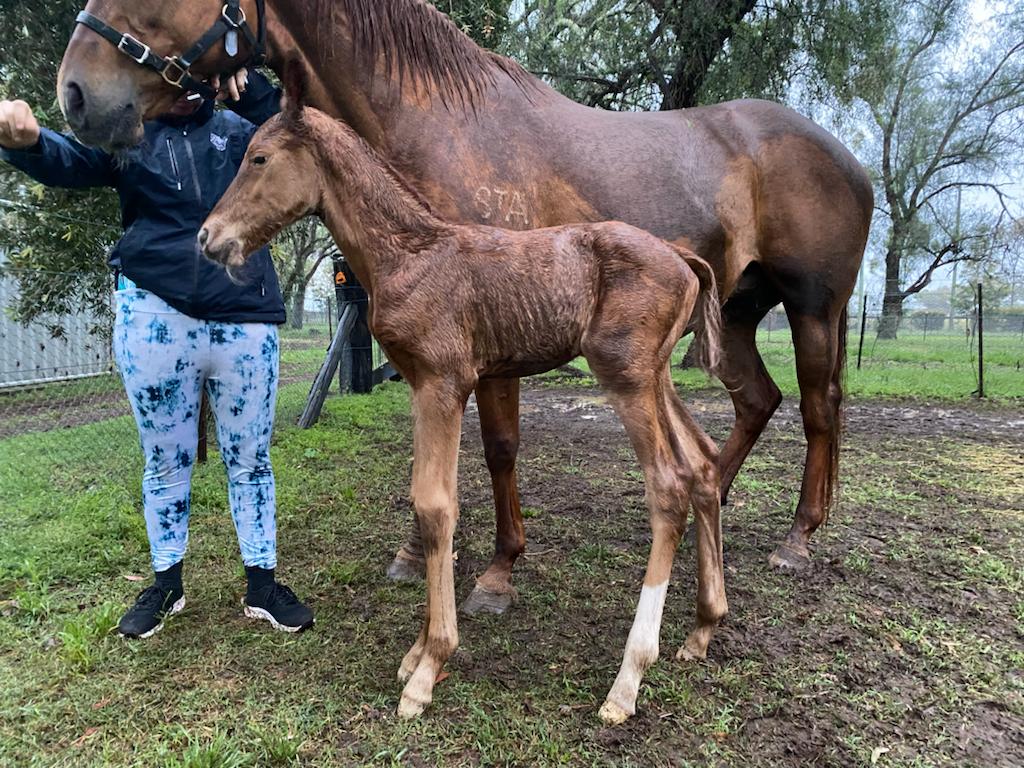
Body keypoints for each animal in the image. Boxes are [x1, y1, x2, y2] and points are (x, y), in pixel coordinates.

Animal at [56, 0, 873, 608]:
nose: (76, 94)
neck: (438, 129)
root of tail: (848, 159)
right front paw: (416, 552)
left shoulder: (490, 346)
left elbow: (500, 449)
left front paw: (499, 571)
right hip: (734, 315)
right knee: (755, 404)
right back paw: (719, 503)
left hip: (812, 312)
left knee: (816, 410)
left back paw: (797, 538)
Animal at [198, 65, 728, 721]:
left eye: (259, 158)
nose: (208, 237)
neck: (408, 253)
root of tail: (681, 258)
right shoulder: (422, 386)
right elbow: (429, 502)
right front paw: (416, 652)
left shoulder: (443, 383)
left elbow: (435, 506)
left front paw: (428, 668)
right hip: (656, 377)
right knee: (703, 462)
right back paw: (703, 628)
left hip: (626, 377)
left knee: (669, 487)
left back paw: (627, 680)